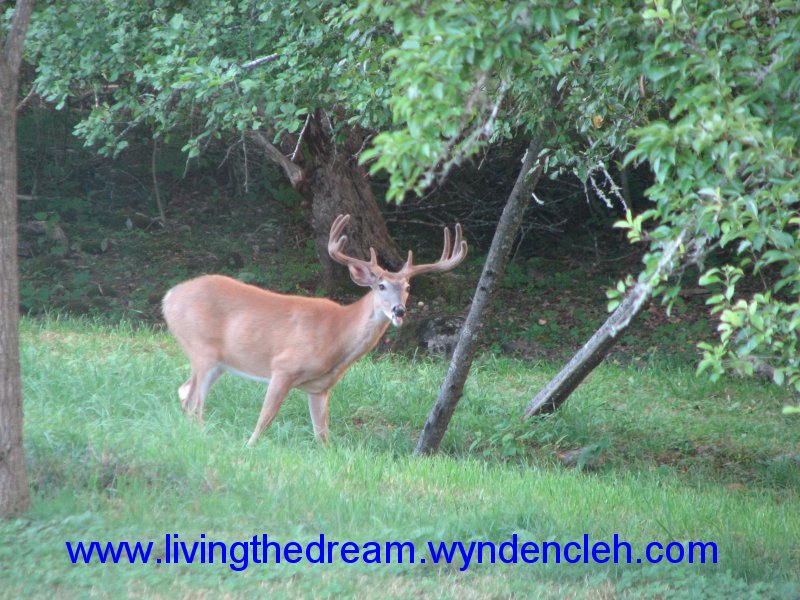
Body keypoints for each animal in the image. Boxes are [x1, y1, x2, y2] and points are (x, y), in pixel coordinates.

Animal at [162, 214, 466, 446]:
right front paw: (248, 447)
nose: (399, 311)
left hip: (219, 363)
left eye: (407, 287)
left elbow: (323, 436)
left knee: (184, 392)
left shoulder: (320, 388)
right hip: (201, 347)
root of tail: (169, 297)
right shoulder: (283, 367)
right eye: (381, 286)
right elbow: (264, 419)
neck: (338, 336)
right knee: (194, 402)